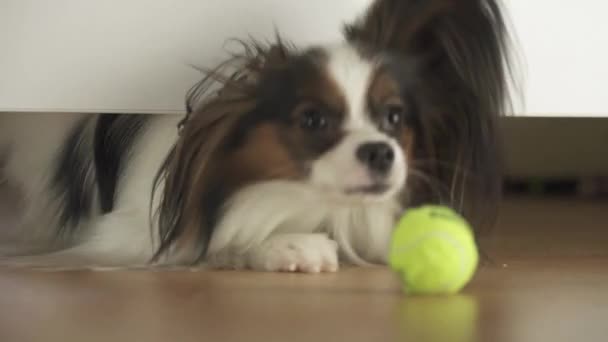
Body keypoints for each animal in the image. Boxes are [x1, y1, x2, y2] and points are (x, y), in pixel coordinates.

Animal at [0, 0, 510, 272]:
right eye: (313, 120)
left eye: (394, 117)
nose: (381, 154)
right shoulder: (124, 231)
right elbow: (215, 239)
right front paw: (287, 244)